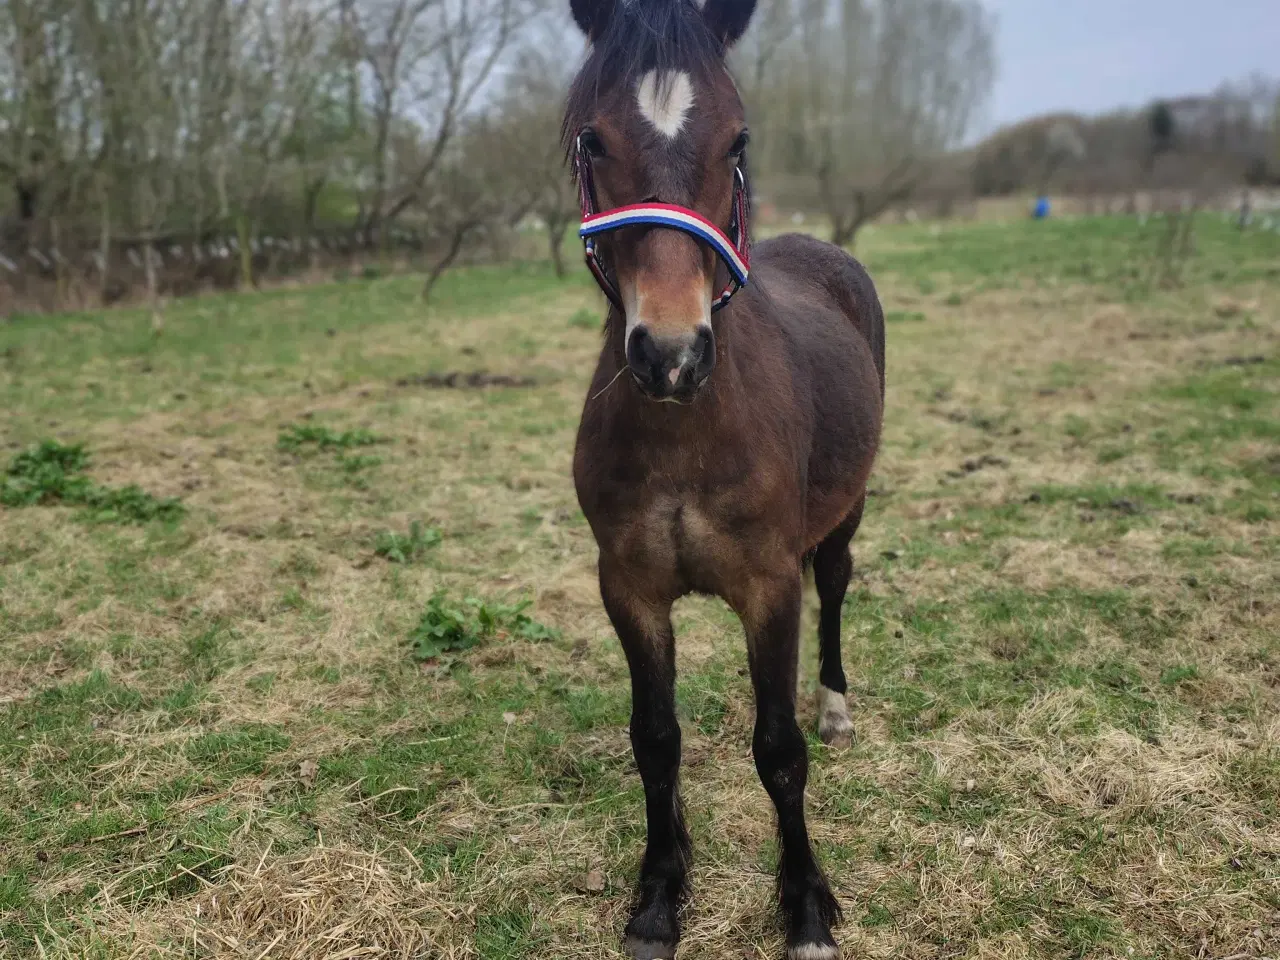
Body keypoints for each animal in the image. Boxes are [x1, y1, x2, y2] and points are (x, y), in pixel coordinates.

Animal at [564, 0, 886, 956]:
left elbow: (778, 749)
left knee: (837, 586)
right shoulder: (628, 588)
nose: (670, 355)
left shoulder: (768, 587)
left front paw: (806, 907)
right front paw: (660, 895)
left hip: (846, 514)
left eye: (737, 139)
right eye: (593, 140)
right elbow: (655, 739)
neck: (687, 430)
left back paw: (837, 708)